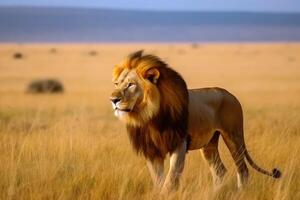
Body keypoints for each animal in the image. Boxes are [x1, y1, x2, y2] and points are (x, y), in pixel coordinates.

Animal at [110, 50, 282, 192]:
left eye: (131, 84)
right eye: (117, 84)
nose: (113, 100)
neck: (149, 117)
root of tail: (230, 94)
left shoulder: (179, 143)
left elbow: (171, 177)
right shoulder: (151, 149)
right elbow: (158, 179)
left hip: (234, 136)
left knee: (242, 169)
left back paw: (240, 192)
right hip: (209, 144)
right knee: (220, 171)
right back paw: (215, 193)